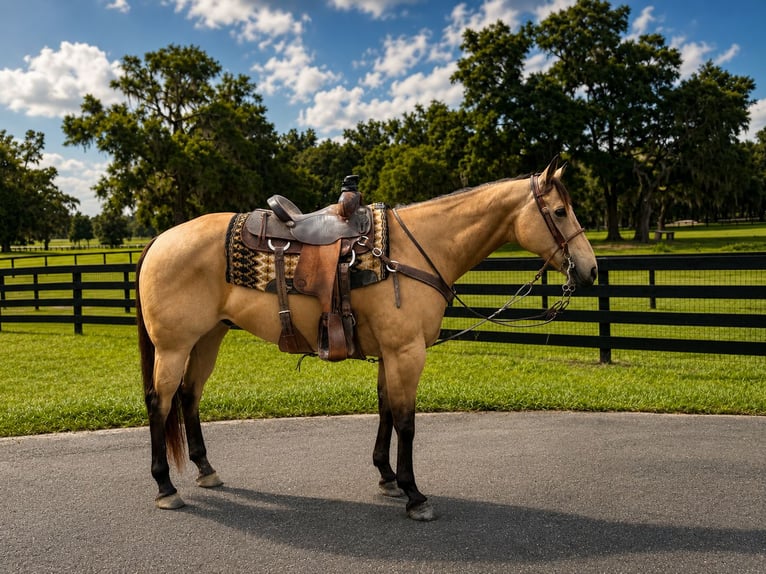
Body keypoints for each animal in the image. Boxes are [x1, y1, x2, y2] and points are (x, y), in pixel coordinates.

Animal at [135, 158, 598, 521]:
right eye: (559, 211)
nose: (591, 270)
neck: (411, 251)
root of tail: (160, 239)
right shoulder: (407, 352)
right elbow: (407, 422)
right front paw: (414, 495)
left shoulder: (390, 353)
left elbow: (386, 412)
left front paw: (387, 477)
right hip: (174, 346)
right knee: (160, 403)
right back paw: (165, 487)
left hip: (207, 339)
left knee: (189, 397)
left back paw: (205, 469)